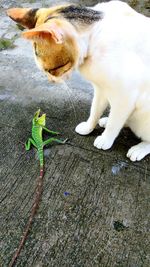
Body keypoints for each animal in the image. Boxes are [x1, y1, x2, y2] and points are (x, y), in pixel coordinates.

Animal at [7, 0, 150, 161]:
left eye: (52, 70)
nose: (51, 81)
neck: (93, 37)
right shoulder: (101, 88)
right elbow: (94, 110)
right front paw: (89, 127)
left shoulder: (125, 96)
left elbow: (115, 122)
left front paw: (106, 139)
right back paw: (107, 121)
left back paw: (140, 148)